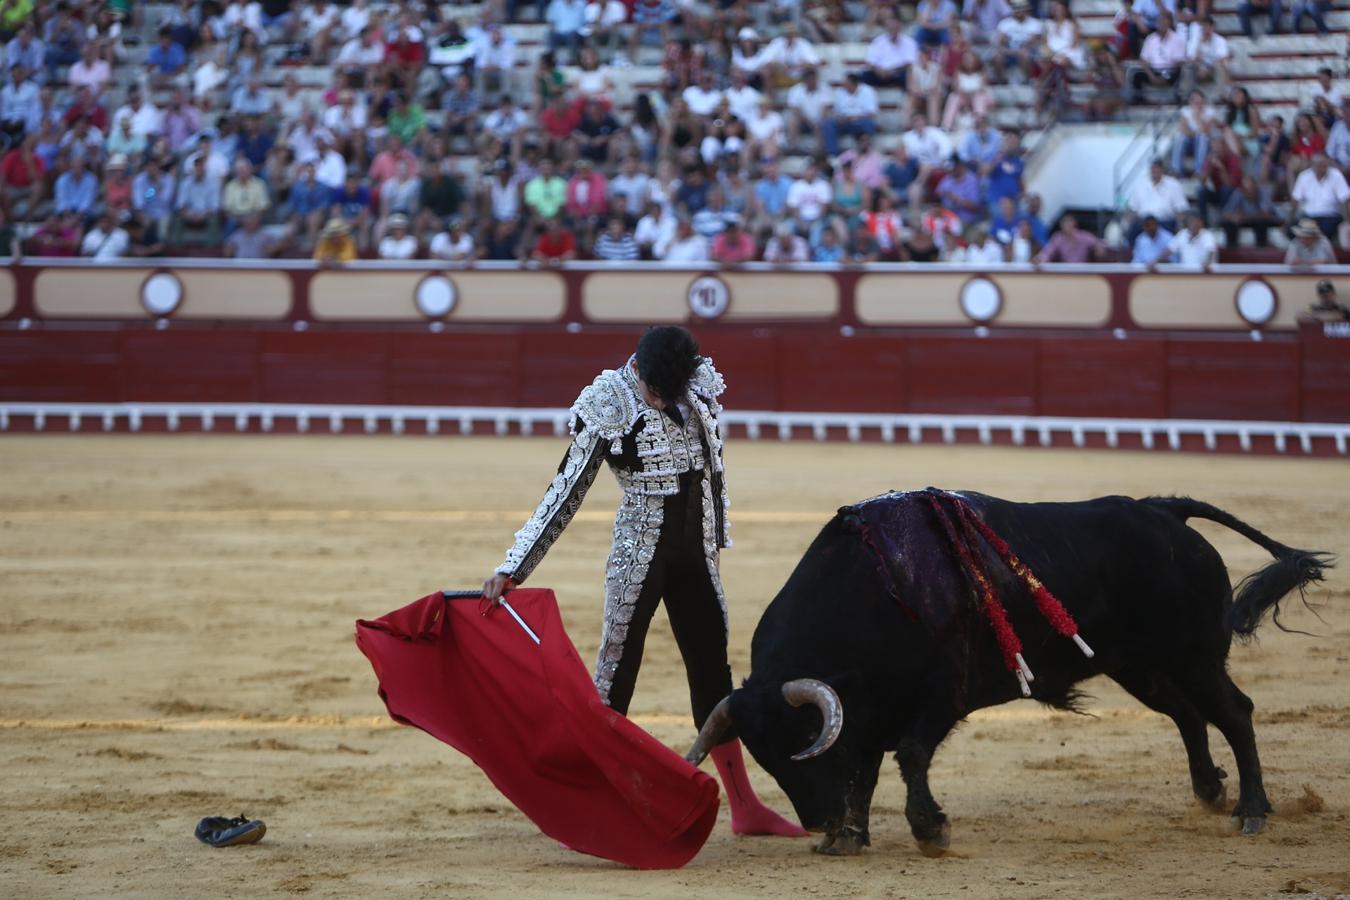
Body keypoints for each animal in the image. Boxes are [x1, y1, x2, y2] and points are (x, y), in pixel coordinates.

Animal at [685, 493, 1328, 858]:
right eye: (764, 756)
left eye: (802, 742)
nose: (817, 821)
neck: (872, 593)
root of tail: (1164, 512)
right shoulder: (867, 713)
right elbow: (865, 770)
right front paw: (849, 838)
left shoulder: (940, 695)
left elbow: (909, 755)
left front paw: (930, 830)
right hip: (1140, 666)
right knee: (1189, 714)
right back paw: (1211, 792)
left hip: (1192, 655)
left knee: (1234, 712)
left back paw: (1251, 811)